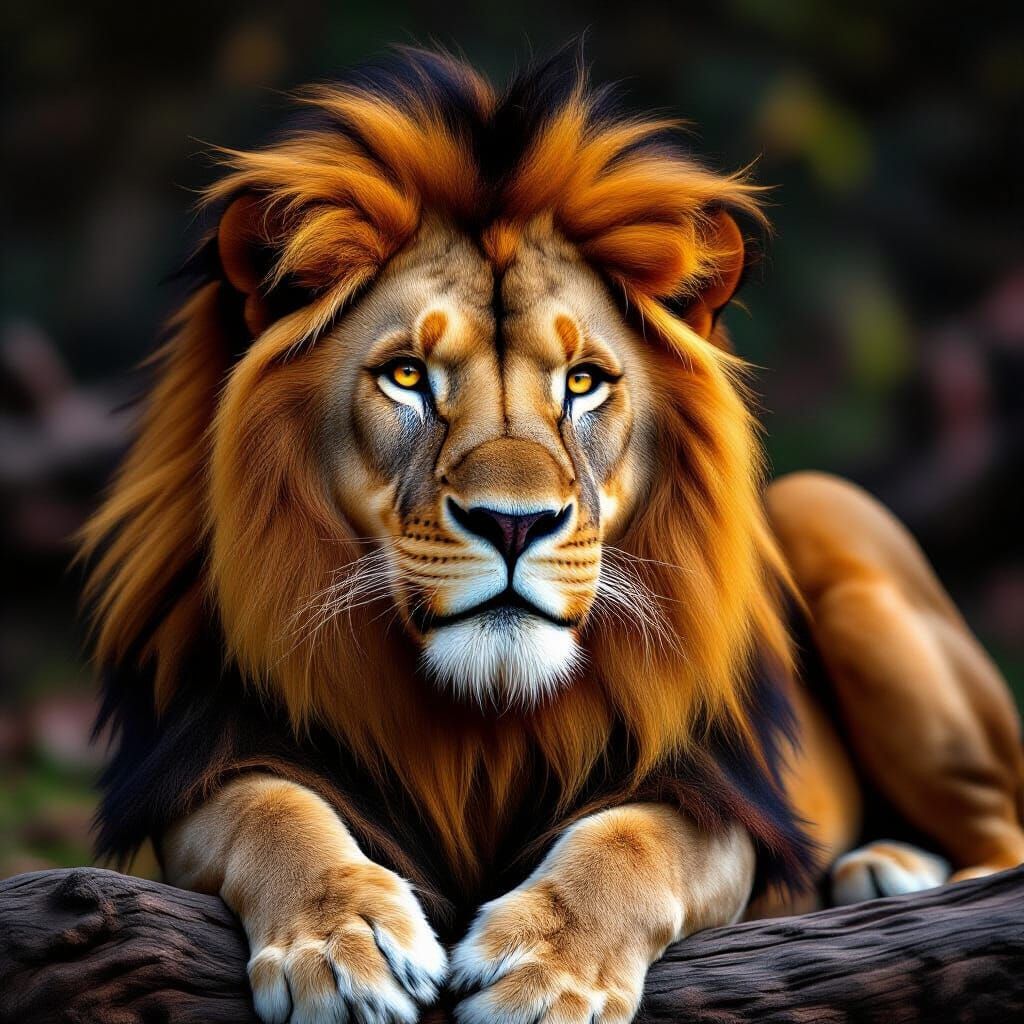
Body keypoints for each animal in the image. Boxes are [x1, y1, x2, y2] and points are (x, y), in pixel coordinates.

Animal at [81, 48, 1024, 1024]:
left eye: (582, 382)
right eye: (407, 376)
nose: (514, 522)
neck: (482, 725)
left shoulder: (715, 800)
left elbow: (632, 842)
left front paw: (546, 970)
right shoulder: (199, 760)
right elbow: (268, 810)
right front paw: (340, 944)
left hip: (833, 518)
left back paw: (897, 868)